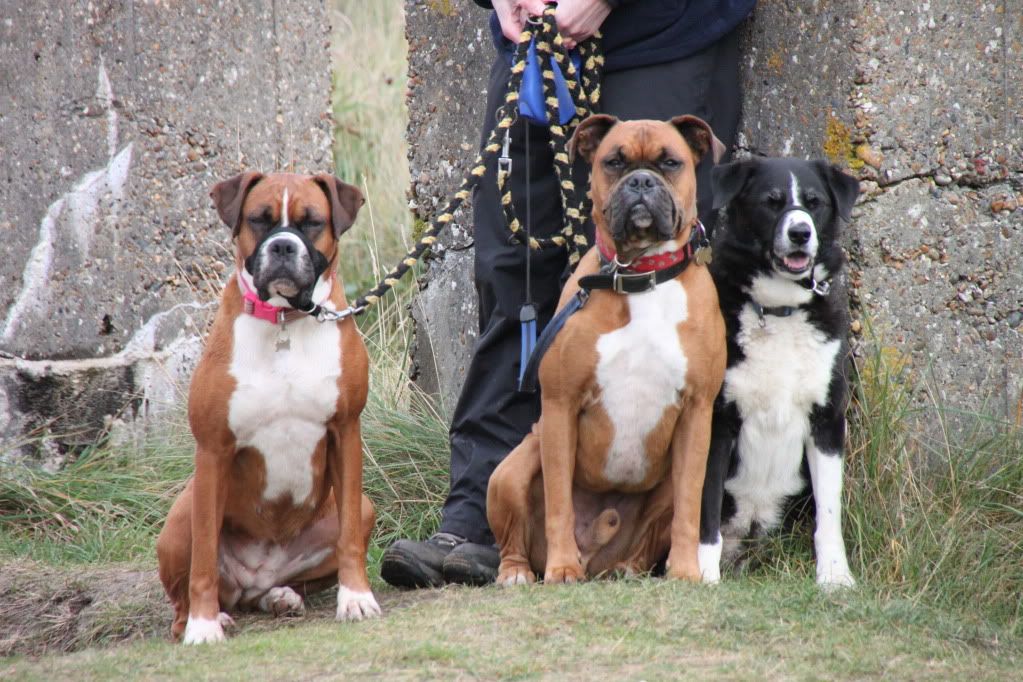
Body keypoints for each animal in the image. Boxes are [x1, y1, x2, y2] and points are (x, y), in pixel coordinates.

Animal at [157, 171, 382, 646]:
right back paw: (206, 619)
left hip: (361, 509)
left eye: (312, 222)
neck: (283, 322)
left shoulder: (345, 430)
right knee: (184, 595)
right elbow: (204, 557)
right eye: (259, 220)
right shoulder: (213, 449)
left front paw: (355, 599)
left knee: (276, 587)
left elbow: (350, 538)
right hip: (183, 515)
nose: (282, 246)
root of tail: (254, 577)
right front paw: (203, 627)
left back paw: (280, 596)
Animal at [486, 114, 728, 584]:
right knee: (515, 539)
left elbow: (689, 509)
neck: (638, 276)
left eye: (670, 162)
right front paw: (561, 568)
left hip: (664, 484)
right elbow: (559, 501)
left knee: (651, 534)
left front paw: (686, 571)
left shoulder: (697, 412)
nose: (640, 181)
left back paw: (629, 568)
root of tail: (594, 556)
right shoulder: (560, 407)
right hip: (512, 469)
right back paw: (520, 572)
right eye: (613, 162)